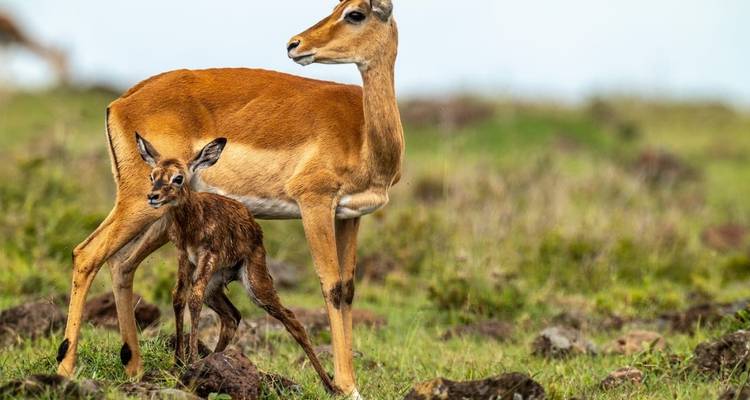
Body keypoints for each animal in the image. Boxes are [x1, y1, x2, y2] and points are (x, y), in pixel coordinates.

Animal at [135, 133, 336, 392]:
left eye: (178, 178)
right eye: (153, 175)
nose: (153, 196)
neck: (193, 220)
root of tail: (255, 227)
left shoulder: (207, 256)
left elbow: (193, 298)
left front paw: (190, 360)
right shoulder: (185, 257)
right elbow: (178, 297)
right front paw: (179, 360)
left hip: (255, 283)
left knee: (291, 320)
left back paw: (332, 386)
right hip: (215, 286)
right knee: (232, 316)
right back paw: (213, 360)